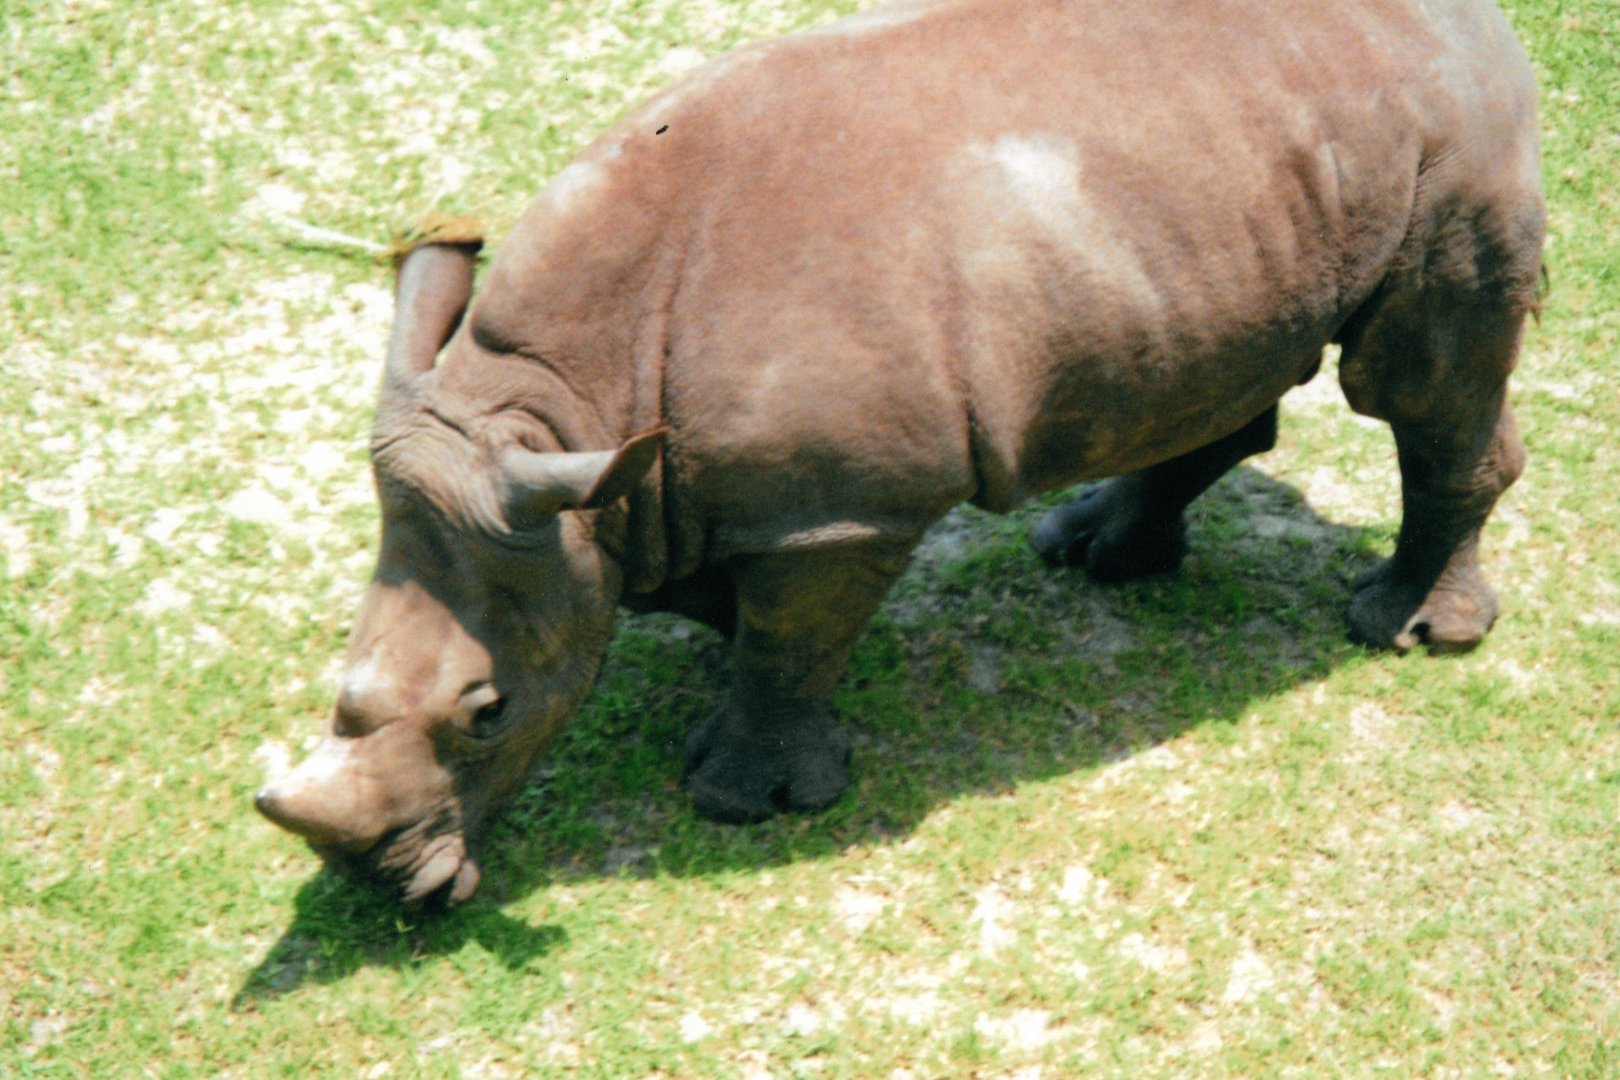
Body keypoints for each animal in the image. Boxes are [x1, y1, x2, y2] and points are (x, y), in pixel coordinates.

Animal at [255, 0, 1544, 905]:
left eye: (488, 712)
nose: (385, 891)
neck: (555, 406)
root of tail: (1477, 22)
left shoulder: (835, 514)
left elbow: (787, 644)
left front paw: (745, 798)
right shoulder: (659, 493)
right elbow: (724, 607)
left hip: (1454, 145)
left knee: (1413, 382)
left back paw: (1404, 632)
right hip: (1239, 176)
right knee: (1212, 360)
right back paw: (1094, 552)